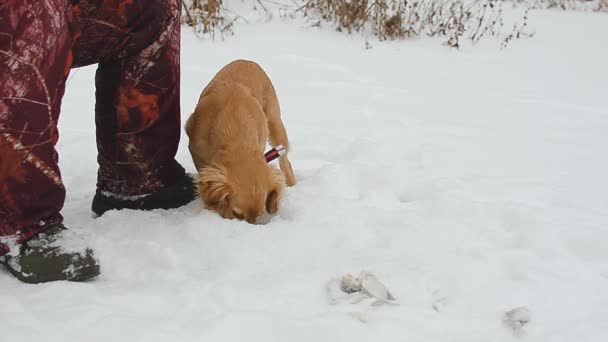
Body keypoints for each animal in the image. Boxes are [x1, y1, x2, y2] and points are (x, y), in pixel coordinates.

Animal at [188, 59, 296, 224]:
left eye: (259, 214)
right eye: (236, 213)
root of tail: (248, 61)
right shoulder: (196, 150)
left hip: (275, 123)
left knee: (285, 161)